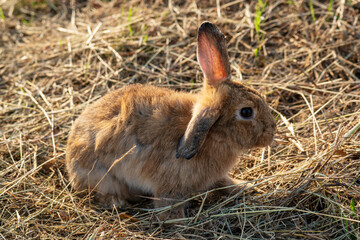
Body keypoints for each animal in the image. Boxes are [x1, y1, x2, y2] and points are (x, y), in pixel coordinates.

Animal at [66, 21, 276, 220]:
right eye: (246, 112)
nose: (272, 132)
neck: (211, 134)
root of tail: (70, 157)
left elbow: (222, 182)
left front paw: (242, 186)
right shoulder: (169, 185)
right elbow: (167, 205)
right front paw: (177, 221)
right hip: (103, 177)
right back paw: (118, 203)